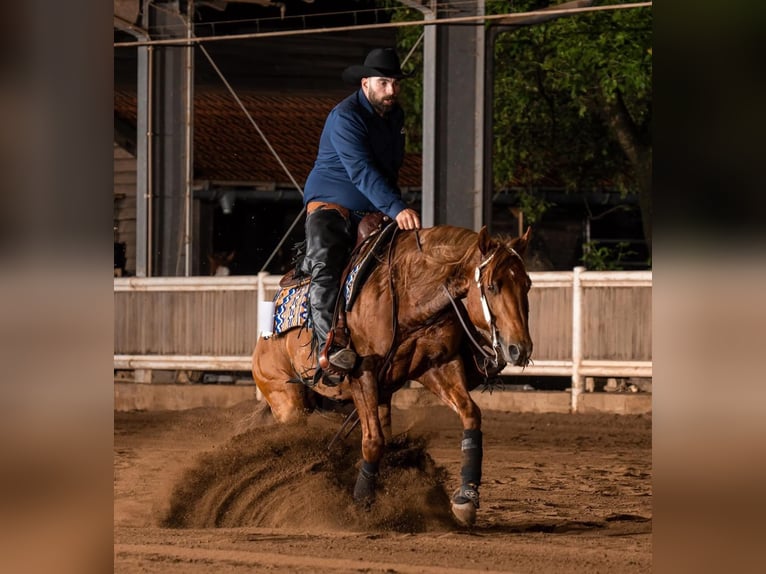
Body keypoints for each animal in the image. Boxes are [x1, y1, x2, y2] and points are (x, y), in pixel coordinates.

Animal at [251, 224, 533, 527]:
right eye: (492, 286)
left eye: (527, 284)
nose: (520, 348)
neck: (406, 296)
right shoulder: (362, 375)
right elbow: (373, 442)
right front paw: (361, 502)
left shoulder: (438, 367)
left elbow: (470, 414)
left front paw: (466, 498)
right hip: (287, 399)